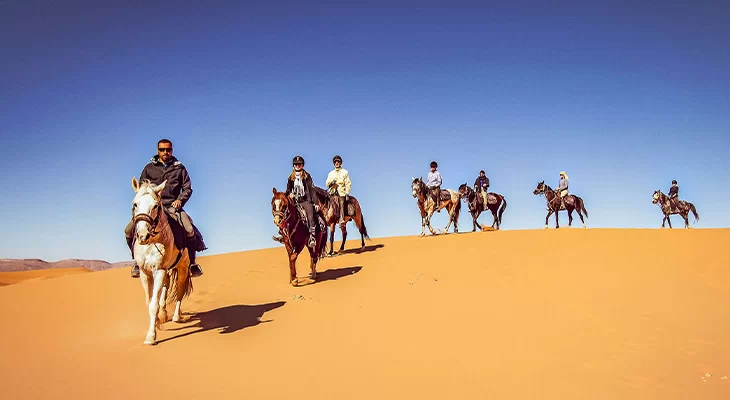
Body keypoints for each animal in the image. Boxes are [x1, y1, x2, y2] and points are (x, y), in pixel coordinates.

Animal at [131, 177, 192, 346]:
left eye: (155, 205)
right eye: (135, 204)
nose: (142, 235)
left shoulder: (159, 270)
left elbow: (153, 305)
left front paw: (151, 336)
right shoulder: (145, 273)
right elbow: (150, 301)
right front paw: (158, 321)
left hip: (182, 268)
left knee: (179, 291)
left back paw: (177, 316)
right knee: (165, 288)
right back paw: (164, 314)